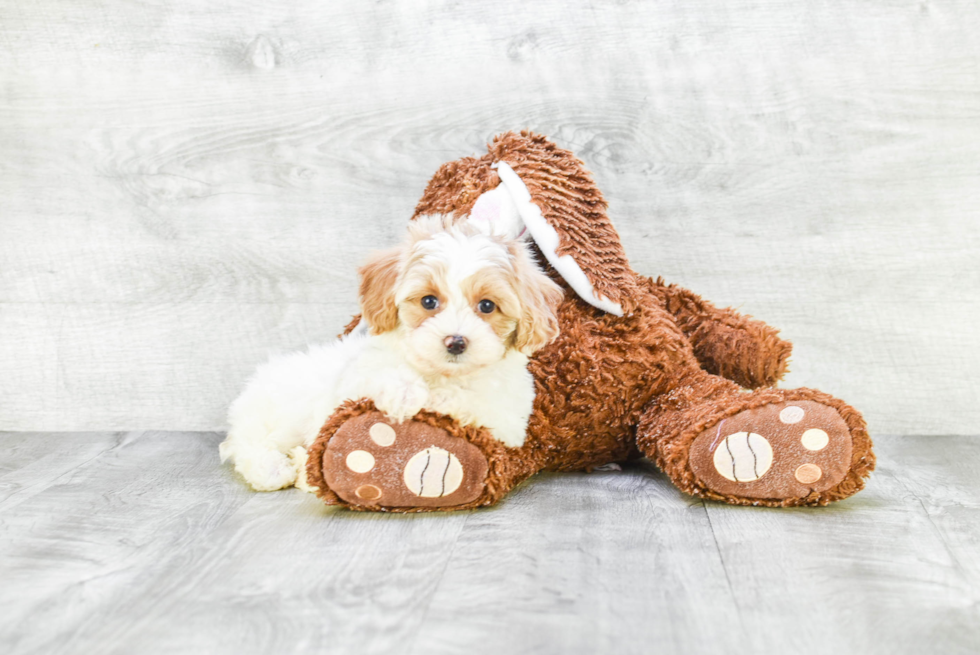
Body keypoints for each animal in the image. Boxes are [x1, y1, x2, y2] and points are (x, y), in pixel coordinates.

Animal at [218, 217, 564, 492]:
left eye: (487, 306)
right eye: (428, 301)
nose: (455, 342)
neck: (442, 373)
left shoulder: (507, 420)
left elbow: (467, 400)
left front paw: (434, 396)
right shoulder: (353, 380)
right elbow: (381, 374)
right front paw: (403, 395)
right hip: (277, 413)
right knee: (247, 443)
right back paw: (275, 469)